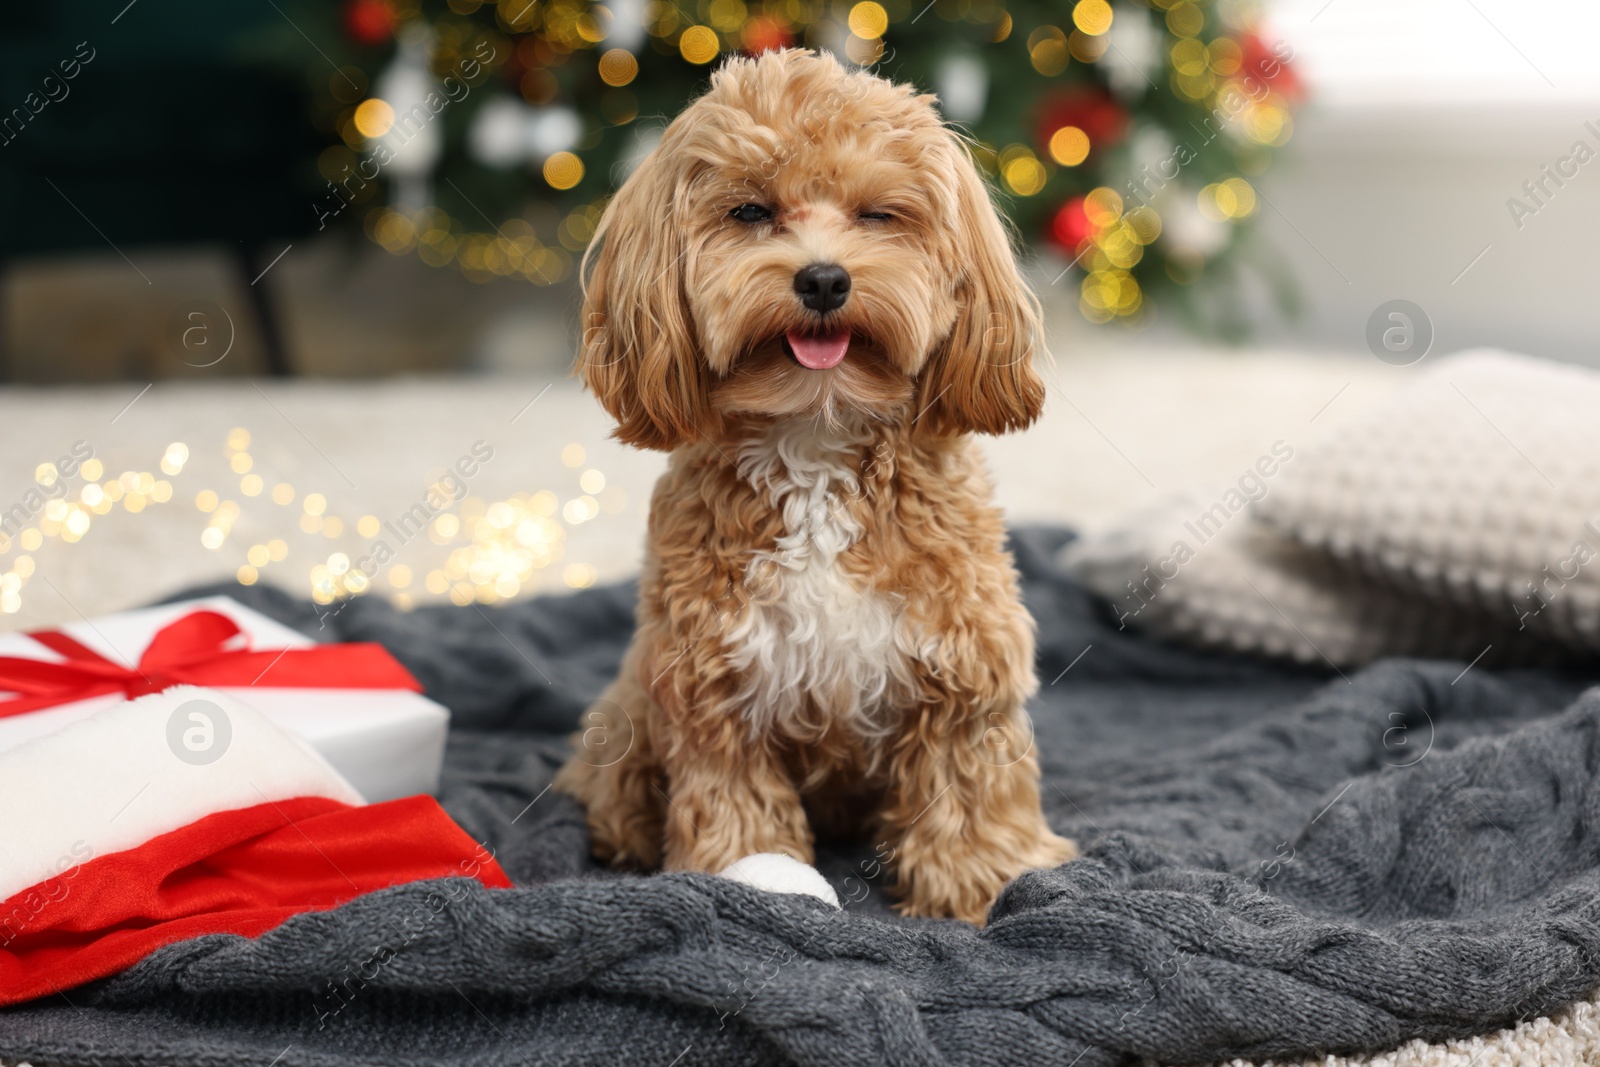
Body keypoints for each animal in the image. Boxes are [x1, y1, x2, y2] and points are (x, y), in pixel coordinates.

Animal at [553, 45, 1075, 921]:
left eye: (878, 215)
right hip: (629, 714)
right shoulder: (714, 687)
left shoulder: (963, 670)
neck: (818, 439)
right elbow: (735, 807)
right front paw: (746, 878)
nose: (824, 280)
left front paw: (981, 886)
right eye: (750, 211)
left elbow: (966, 791)